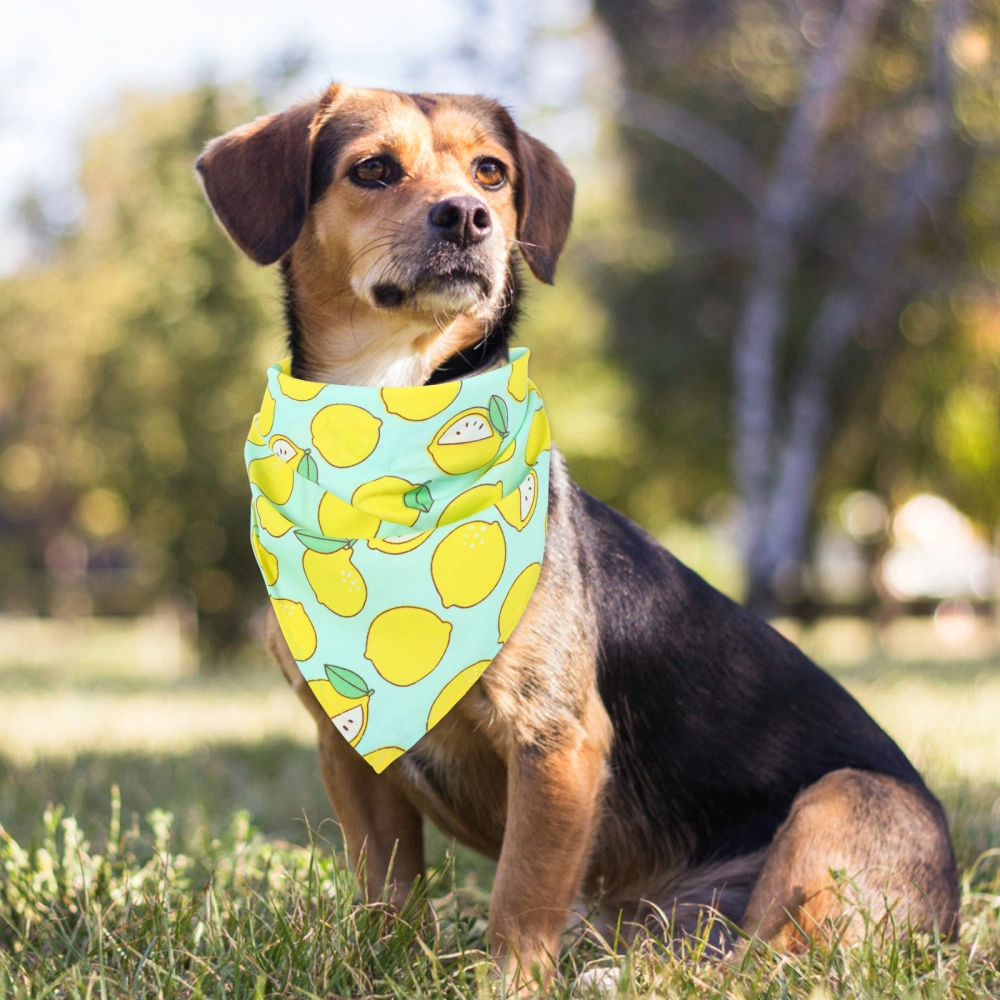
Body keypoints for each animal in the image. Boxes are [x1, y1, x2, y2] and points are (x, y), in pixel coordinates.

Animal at [197, 86, 960, 992]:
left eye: (491, 171)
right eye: (373, 169)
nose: (469, 215)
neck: (393, 421)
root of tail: (953, 918)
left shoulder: (556, 741)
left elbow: (522, 895)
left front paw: (511, 986)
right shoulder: (349, 751)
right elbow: (388, 892)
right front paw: (381, 967)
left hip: (840, 802)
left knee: (771, 964)